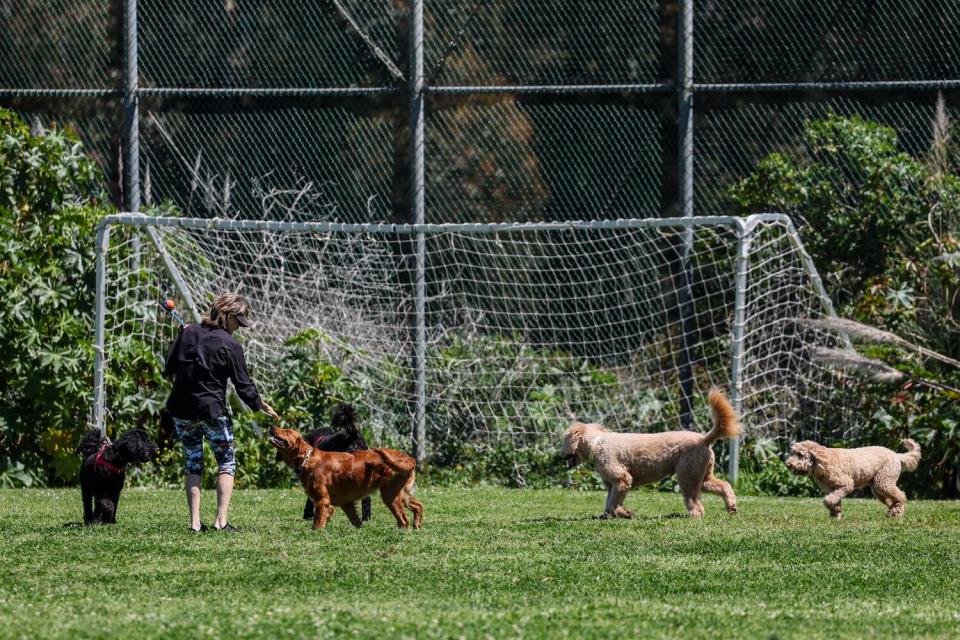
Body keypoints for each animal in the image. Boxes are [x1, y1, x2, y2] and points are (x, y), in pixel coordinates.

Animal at [268, 424, 422, 528]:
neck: (308, 458)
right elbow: (356, 522)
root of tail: (407, 457)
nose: (272, 426)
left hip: (390, 495)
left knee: (403, 520)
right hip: (401, 493)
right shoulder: (346, 503)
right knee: (418, 506)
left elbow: (317, 523)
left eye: (287, 431)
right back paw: (417, 525)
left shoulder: (322, 500)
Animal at [560, 388, 740, 516]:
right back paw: (731, 506)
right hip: (702, 476)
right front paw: (610, 515)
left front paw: (623, 513)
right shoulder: (612, 484)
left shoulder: (622, 478)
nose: (560, 456)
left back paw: (696, 513)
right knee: (724, 485)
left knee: (694, 499)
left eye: (564, 440)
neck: (597, 443)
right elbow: (609, 502)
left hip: (687, 475)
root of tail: (704, 439)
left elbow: (613, 503)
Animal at [788, 438, 924, 516]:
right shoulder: (832, 489)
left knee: (901, 495)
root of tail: (896, 455)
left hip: (884, 482)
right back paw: (892, 511)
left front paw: (831, 507)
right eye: (793, 453)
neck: (822, 462)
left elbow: (829, 500)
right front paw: (835, 512)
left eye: (800, 454)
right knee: (891, 500)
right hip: (877, 488)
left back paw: (898, 511)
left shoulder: (846, 484)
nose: (788, 464)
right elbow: (835, 500)